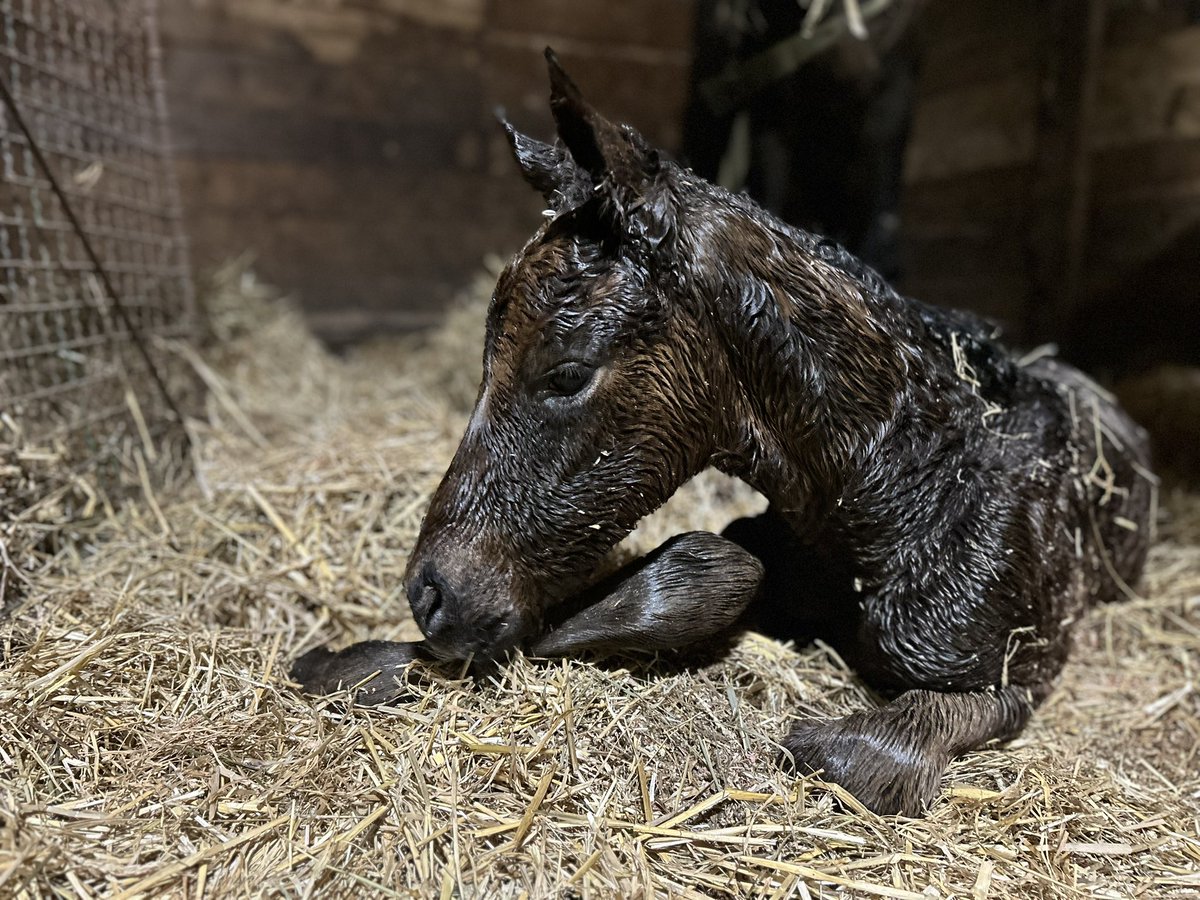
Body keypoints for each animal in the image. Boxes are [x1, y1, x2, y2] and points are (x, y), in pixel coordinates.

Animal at [293, 50, 1154, 816]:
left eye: (567, 373)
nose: (430, 593)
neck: (904, 484)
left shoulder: (1006, 674)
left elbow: (854, 752)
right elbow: (705, 573)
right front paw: (350, 663)